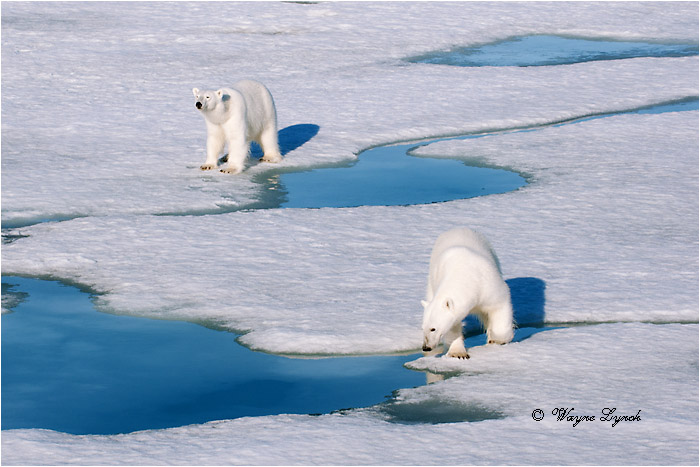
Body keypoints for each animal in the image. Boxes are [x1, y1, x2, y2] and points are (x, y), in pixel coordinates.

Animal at [422, 227, 514, 359]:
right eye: (422, 328)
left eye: (433, 329)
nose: (426, 347)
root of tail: (457, 228)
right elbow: (453, 325)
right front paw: (458, 353)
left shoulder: (487, 285)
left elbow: (499, 304)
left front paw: (498, 339)